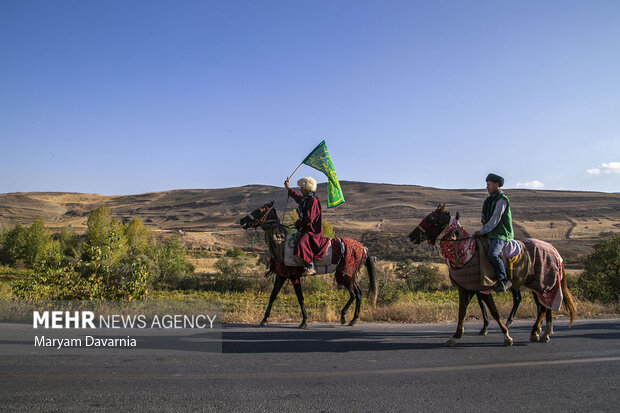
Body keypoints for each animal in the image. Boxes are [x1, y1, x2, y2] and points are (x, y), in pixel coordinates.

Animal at [241, 200, 378, 328]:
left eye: (260, 210)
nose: (242, 220)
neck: (282, 245)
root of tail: (363, 248)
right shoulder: (282, 275)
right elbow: (273, 295)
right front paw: (264, 320)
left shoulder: (294, 276)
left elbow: (300, 297)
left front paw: (304, 321)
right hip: (348, 274)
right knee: (358, 293)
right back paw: (350, 318)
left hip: (345, 273)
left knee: (354, 293)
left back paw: (347, 317)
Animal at [406, 204, 576, 344]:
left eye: (431, 218)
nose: (411, 236)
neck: (468, 253)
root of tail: (555, 251)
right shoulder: (465, 288)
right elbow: (462, 311)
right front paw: (456, 336)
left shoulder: (483, 287)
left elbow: (493, 311)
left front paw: (506, 335)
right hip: (536, 285)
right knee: (542, 306)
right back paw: (542, 332)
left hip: (542, 284)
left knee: (541, 306)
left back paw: (536, 331)